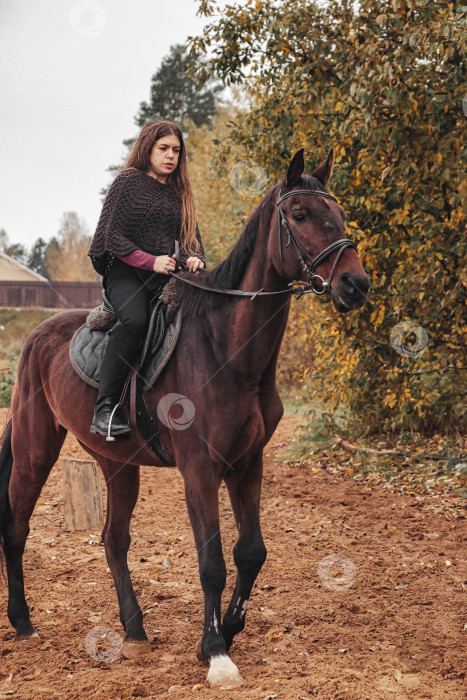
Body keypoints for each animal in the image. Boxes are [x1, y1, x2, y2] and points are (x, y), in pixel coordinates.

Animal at [0, 150, 370, 688]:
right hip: (35, 448)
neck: (227, 351)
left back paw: (134, 631)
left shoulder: (247, 464)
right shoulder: (200, 468)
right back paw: (24, 622)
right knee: (17, 526)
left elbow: (251, 551)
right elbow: (212, 561)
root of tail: (39, 335)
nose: (355, 284)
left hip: (117, 464)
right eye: (299, 215)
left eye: (338, 214)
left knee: (114, 540)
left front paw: (228, 632)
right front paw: (216, 654)